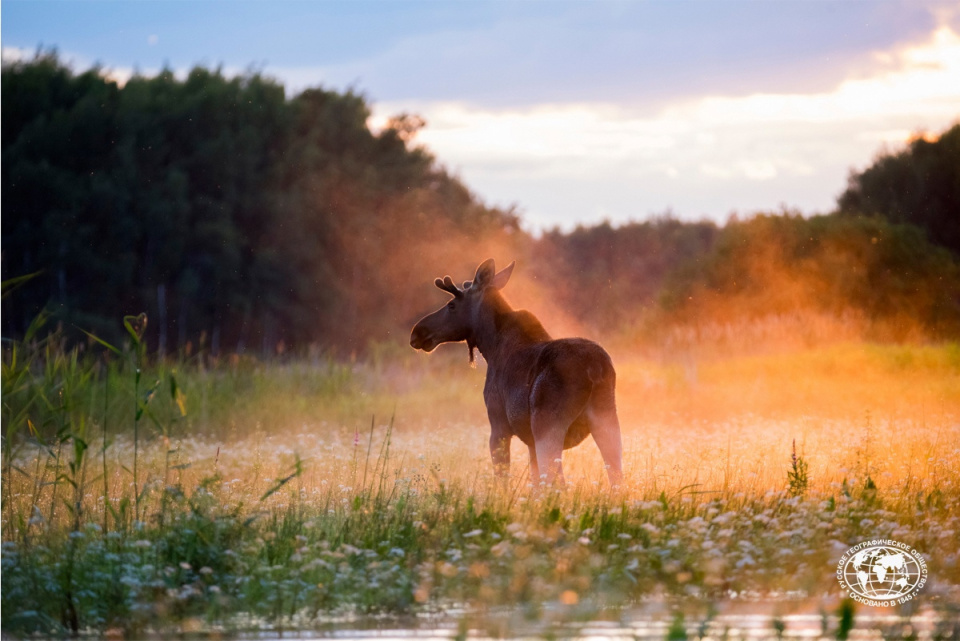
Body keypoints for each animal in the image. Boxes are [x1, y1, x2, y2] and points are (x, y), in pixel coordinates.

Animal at [410, 256, 624, 484]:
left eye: (451, 305)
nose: (417, 332)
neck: (490, 346)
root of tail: (595, 369)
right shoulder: (529, 440)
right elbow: (535, 484)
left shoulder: (498, 425)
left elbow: (503, 478)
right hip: (607, 420)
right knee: (617, 479)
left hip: (547, 425)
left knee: (558, 481)